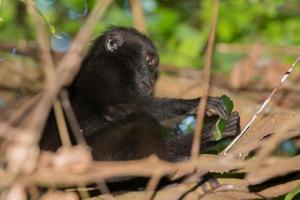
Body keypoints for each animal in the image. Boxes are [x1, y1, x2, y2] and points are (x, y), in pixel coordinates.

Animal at [40, 26, 241, 162]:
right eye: (149, 61)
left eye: (154, 68)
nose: (152, 80)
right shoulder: (106, 70)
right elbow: (118, 108)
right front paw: (197, 103)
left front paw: (214, 132)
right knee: (141, 120)